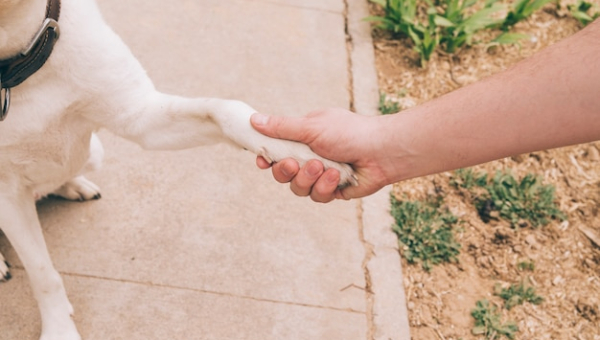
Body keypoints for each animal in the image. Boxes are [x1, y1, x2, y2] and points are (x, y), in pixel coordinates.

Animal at [0, 1, 356, 338]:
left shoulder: (140, 117)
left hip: (95, 152)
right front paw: (60, 329)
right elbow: (43, 274)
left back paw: (72, 184)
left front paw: (303, 151)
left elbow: (223, 109)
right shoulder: (8, 196)